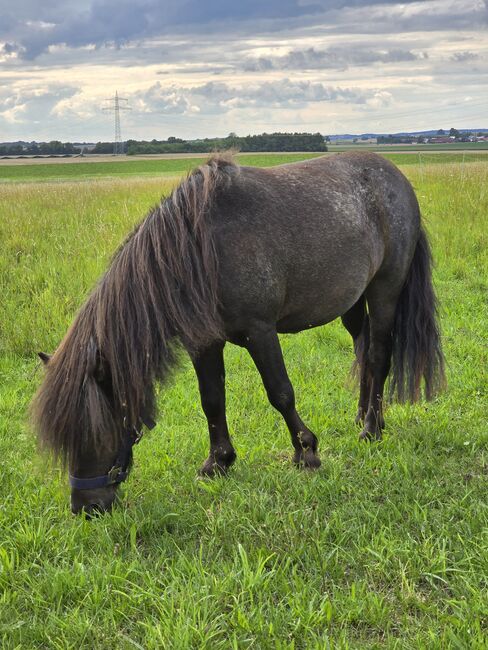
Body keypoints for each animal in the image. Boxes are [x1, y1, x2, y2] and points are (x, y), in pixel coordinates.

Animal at [31, 152, 445, 515]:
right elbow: (212, 400)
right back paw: (363, 415)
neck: (201, 252)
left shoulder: (259, 331)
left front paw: (306, 453)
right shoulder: (203, 343)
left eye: (94, 433)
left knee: (378, 355)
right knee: (363, 349)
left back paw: (372, 429)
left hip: (385, 289)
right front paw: (218, 462)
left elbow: (280, 392)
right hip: (352, 301)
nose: (86, 508)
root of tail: (397, 178)